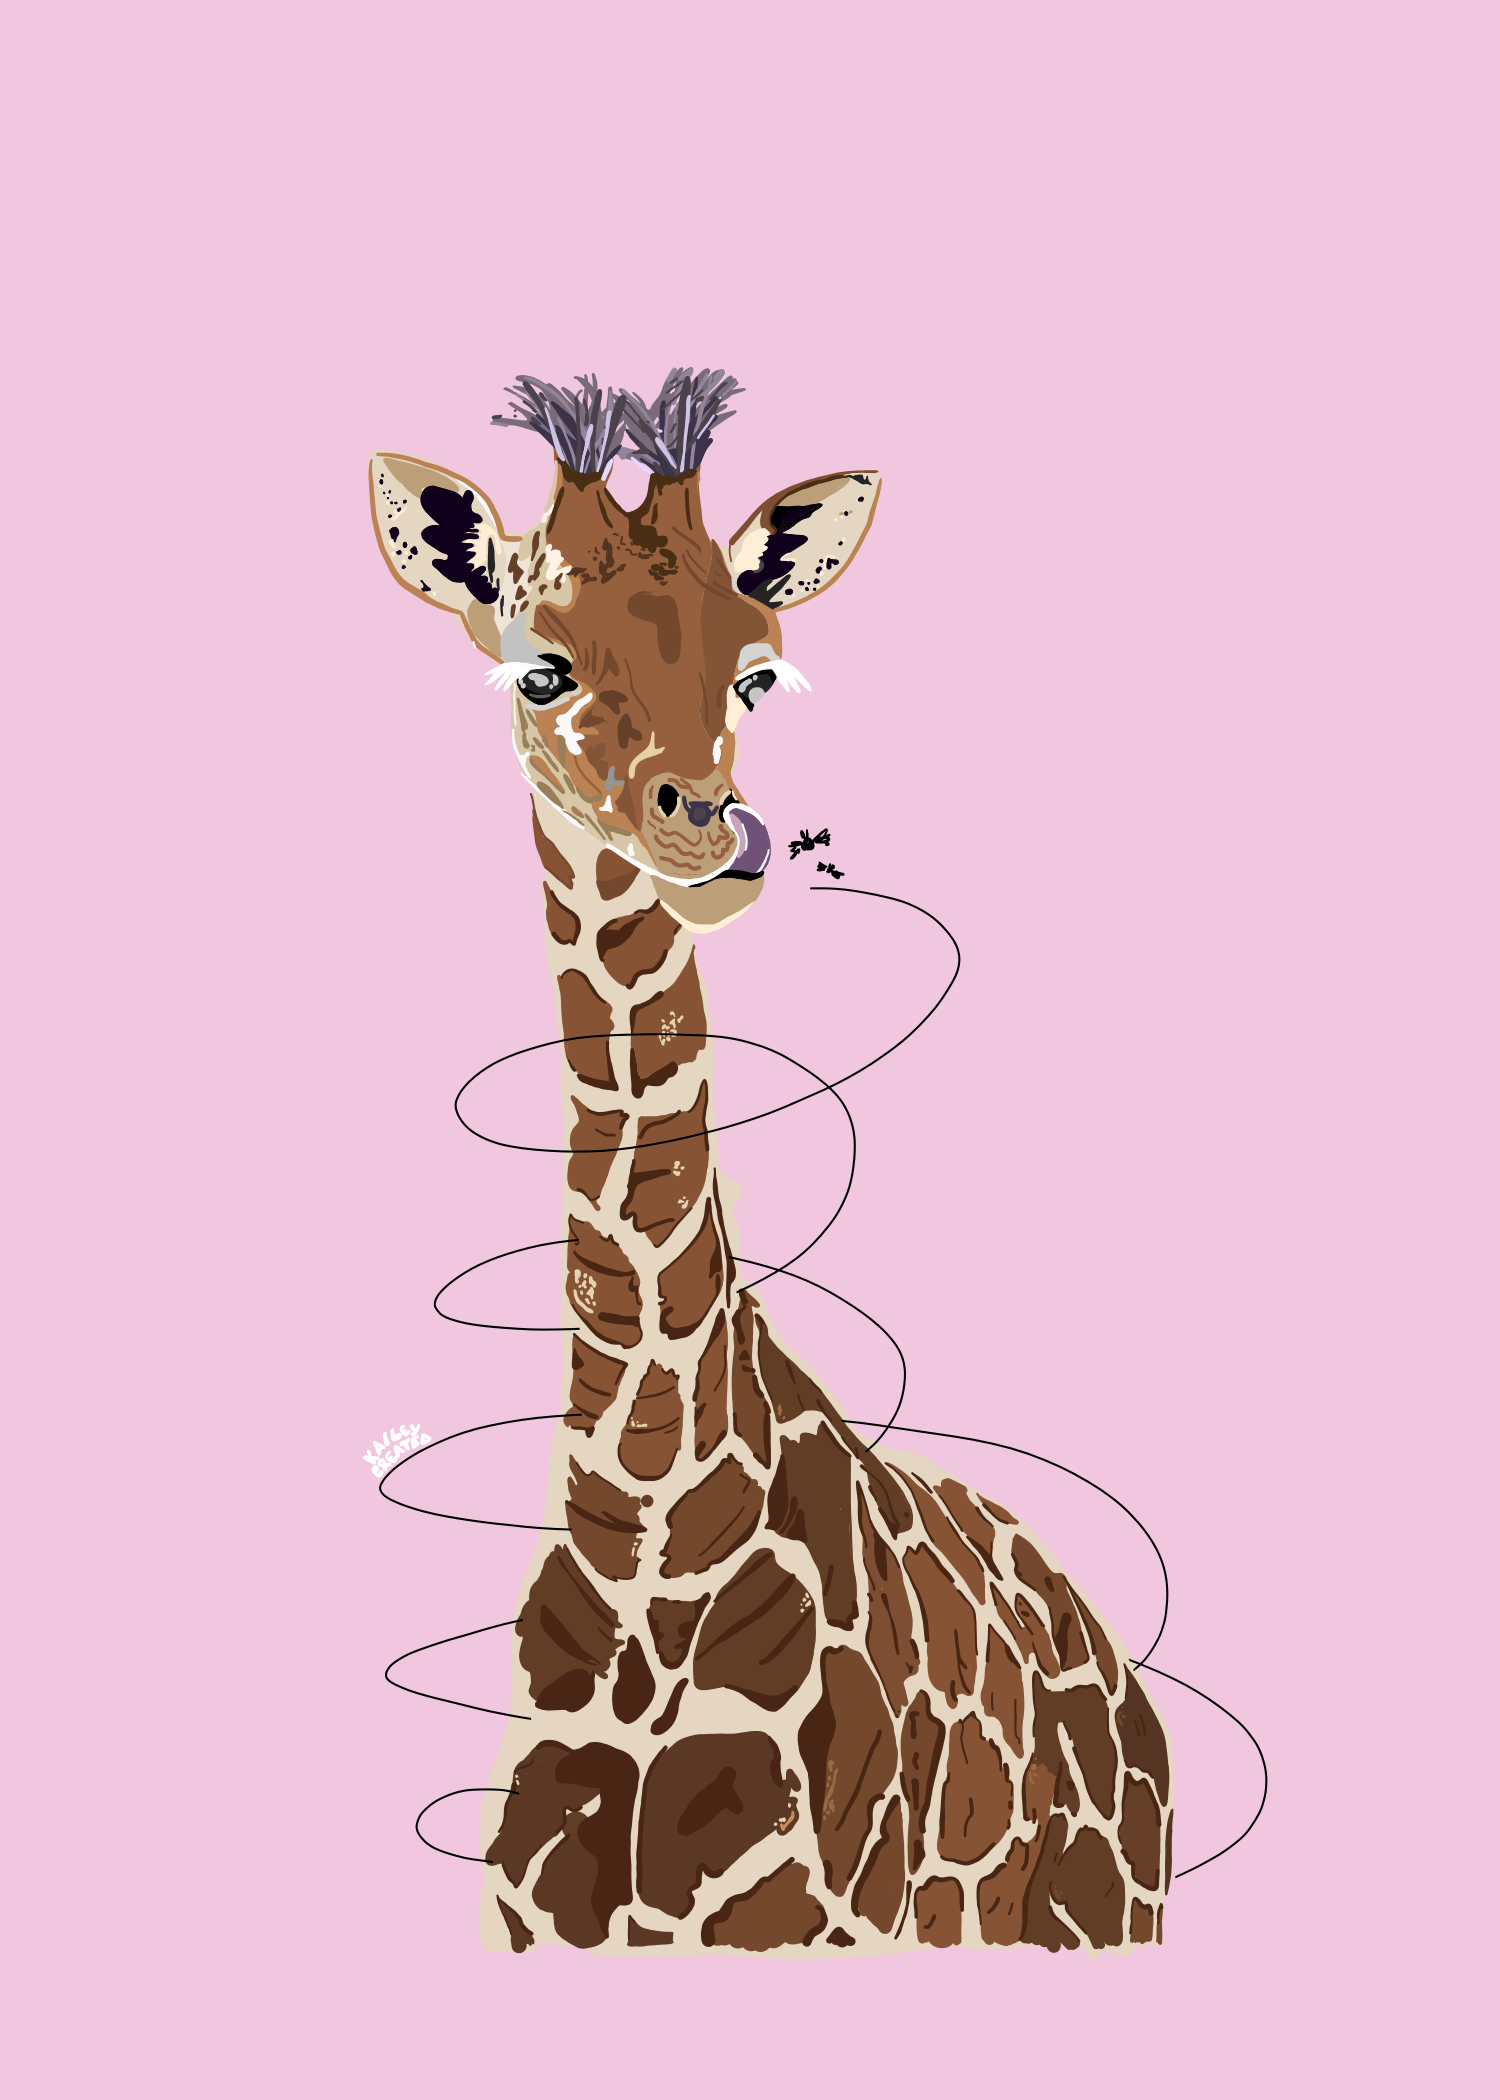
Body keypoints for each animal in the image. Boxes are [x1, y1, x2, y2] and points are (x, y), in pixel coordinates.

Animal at [370, 370, 1173, 1956]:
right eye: (540, 670)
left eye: (756, 672)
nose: (719, 836)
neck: (641, 1529)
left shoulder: (803, 1929)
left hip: (1100, 1922)